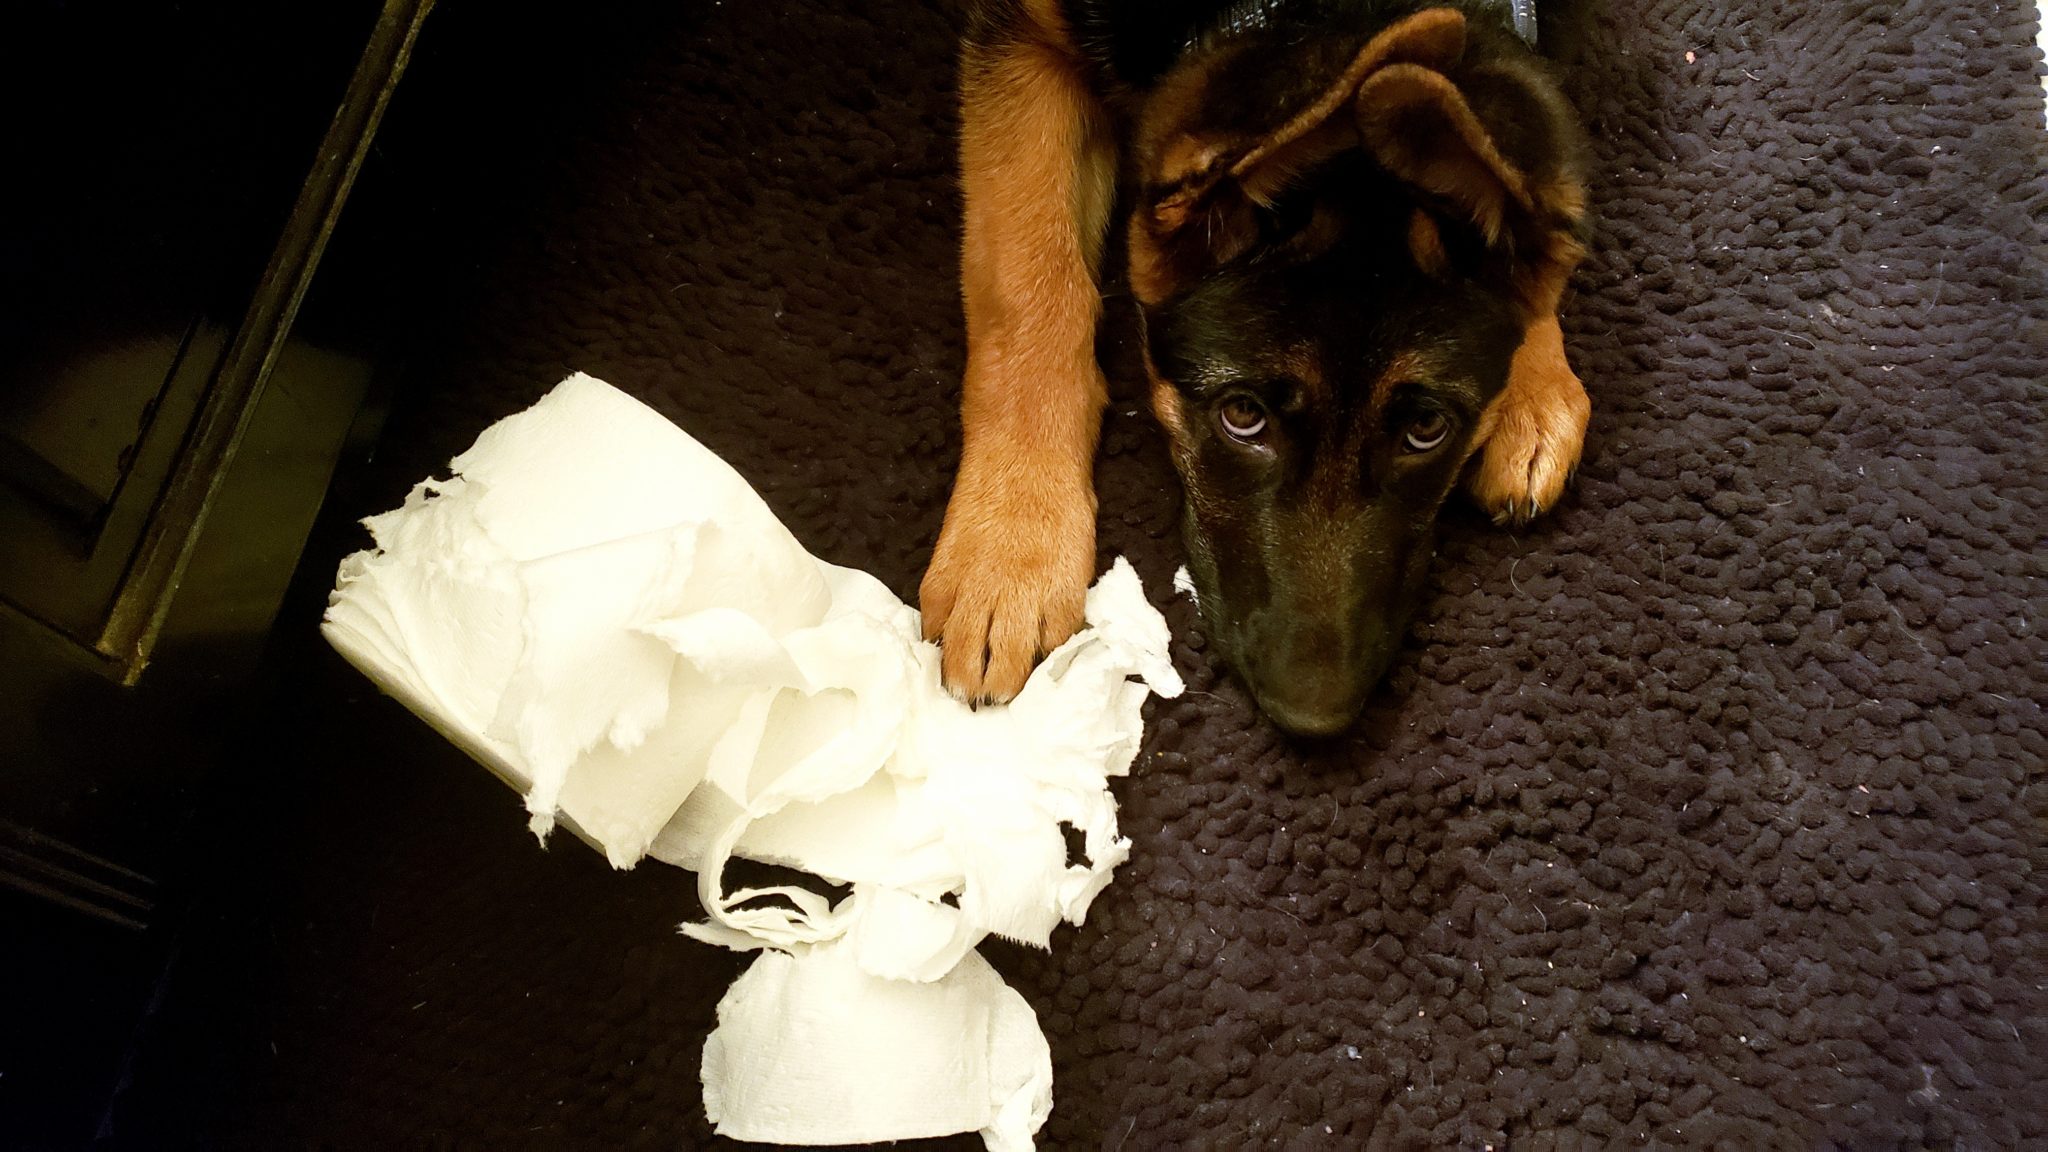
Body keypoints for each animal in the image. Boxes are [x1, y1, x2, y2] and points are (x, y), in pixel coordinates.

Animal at [919, 0, 1591, 736]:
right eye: (1242, 416)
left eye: (1426, 429)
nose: (1313, 720)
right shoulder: (1022, 40)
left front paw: (1536, 382)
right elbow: (1029, 280)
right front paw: (1010, 547)